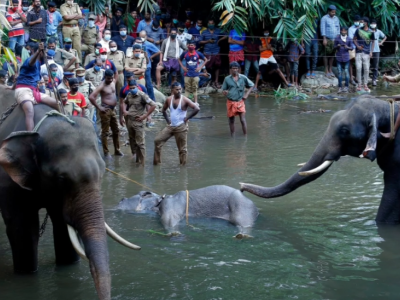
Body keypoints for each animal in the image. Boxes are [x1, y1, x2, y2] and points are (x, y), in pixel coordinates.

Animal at [0, 95, 139, 298]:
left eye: (102, 172)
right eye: (61, 178)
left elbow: (62, 226)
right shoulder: (9, 181)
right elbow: (23, 229)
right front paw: (26, 274)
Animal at [115, 184, 260, 238]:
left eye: (123, 199)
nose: (121, 199)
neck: (158, 202)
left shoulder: (169, 208)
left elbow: (169, 221)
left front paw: (174, 233)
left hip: (242, 210)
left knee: (244, 225)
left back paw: (242, 235)